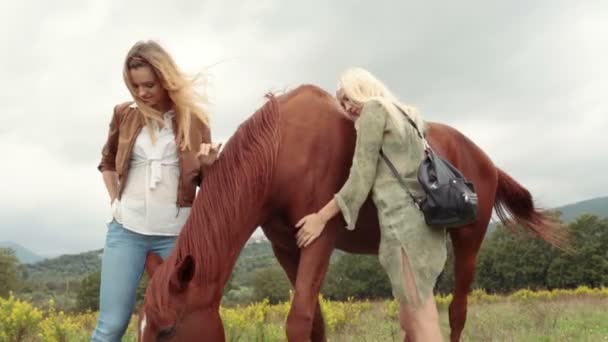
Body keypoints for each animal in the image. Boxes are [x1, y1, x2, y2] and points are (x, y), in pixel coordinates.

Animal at [138, 83, 564, 342]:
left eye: (167, 330)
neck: (279, 152)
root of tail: (486, 160)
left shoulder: (318, 240)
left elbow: (298, 321)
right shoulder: (286, 248)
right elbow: (314, 322)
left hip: (469, 244)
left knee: (457, 311)